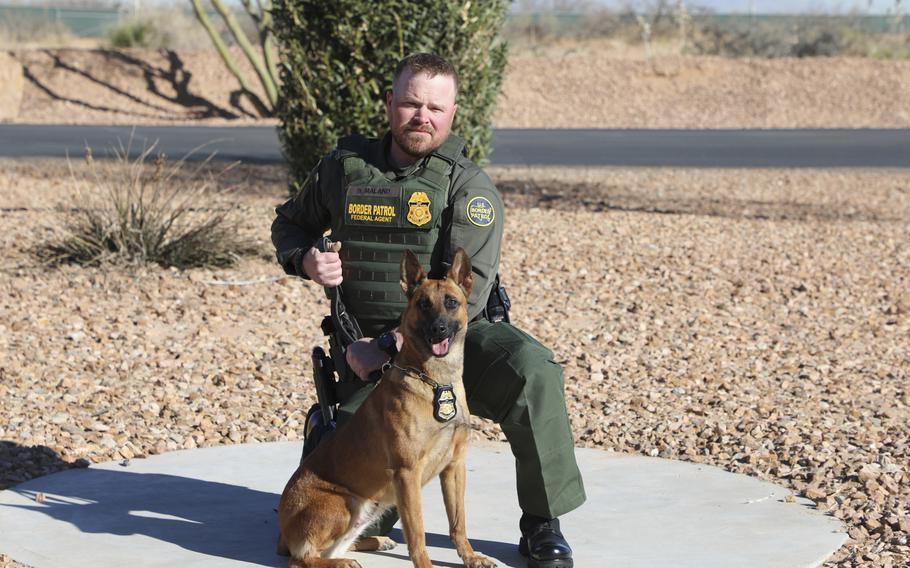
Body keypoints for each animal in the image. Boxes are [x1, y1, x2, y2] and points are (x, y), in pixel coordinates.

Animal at [280, 248, 498, 568]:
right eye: (423, 304)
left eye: (451, 302)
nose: (439, 329)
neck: (436, 382)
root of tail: (282, 533)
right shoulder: (407, 474)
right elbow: (417, 532)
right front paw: (425, 565)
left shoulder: (454, 468)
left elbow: (458, 522)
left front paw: (469, 556)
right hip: (346, 502)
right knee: (303, 558)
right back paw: (341, 562)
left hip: (370, 505)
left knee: (338, 546)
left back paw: (371, 543)